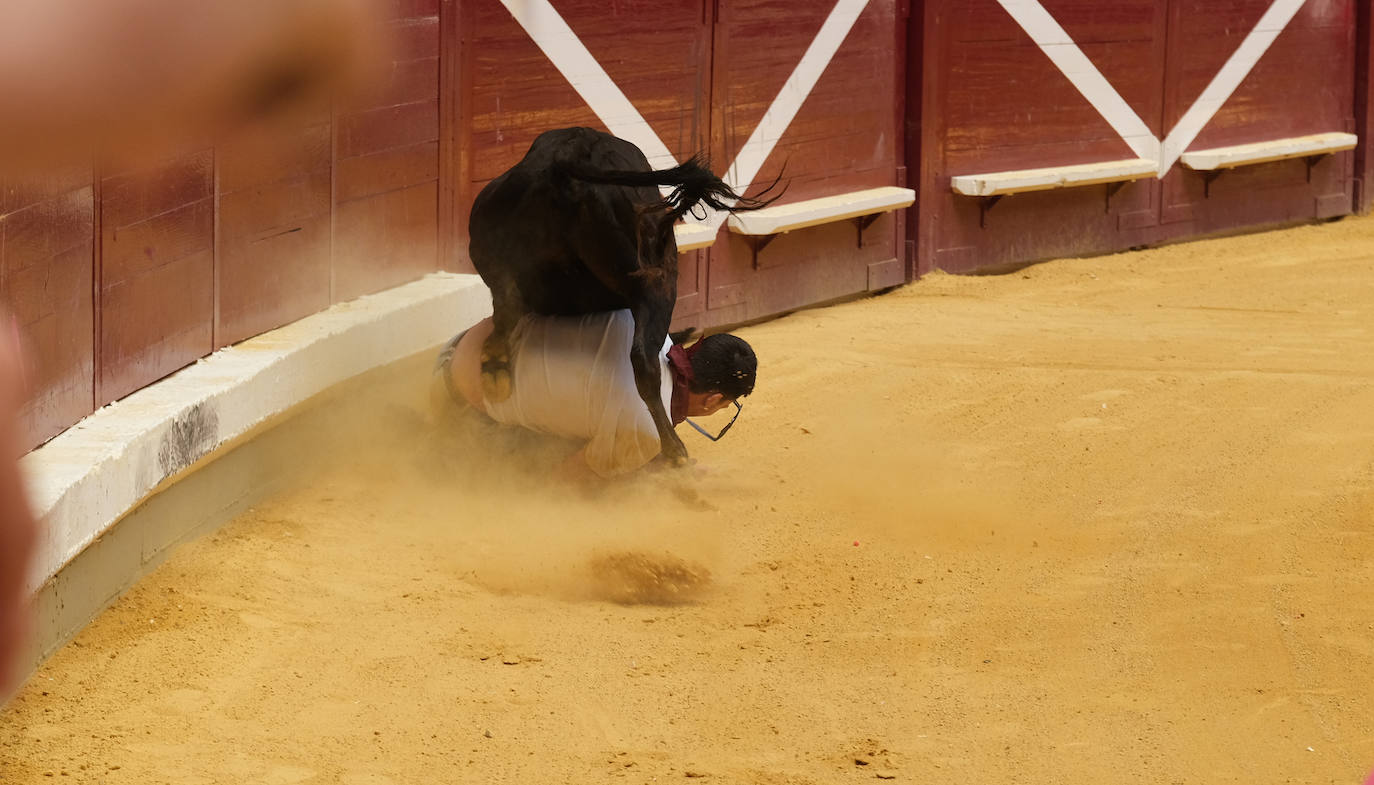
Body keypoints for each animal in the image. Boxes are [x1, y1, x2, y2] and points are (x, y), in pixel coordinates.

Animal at [469, 124, 774, 467]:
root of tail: (570, 150)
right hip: (656, 281)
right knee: (643, 360)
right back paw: (675, 449)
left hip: (493, 258)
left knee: (505, 312)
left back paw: (495, 370)